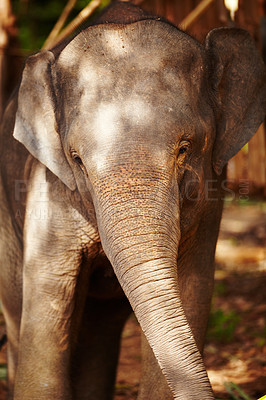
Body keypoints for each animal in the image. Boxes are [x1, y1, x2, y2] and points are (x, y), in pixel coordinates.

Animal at [0, 0, 266, 400]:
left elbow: (191, 290)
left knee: (101, 326)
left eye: (184, 148)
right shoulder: (47, 189)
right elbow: (47, 301)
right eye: (76, 158)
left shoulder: (211, 196)